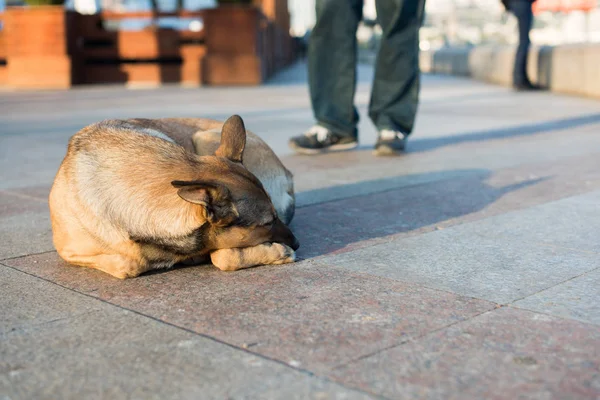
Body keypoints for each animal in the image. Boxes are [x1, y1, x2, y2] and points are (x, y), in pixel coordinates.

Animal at [48, 115, 298, 278]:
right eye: (268, 222)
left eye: (274, 217)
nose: (297, 242)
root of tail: (288, 173)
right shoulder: (69, 251)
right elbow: (130, 263)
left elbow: (222, 256)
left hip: (204, 136)